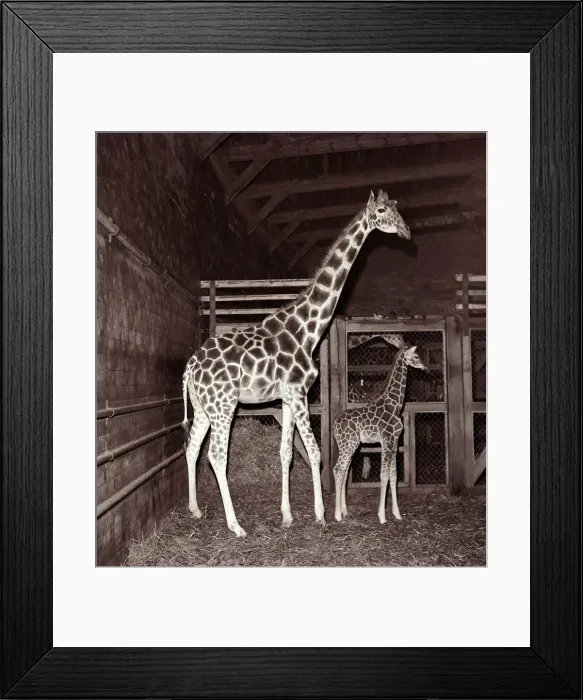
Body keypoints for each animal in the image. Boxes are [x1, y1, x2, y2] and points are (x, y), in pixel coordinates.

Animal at [182, 190, 411, 537]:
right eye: (383, 210)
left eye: (398, 208)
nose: (406, 231)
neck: (307, 329)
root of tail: (191, 368)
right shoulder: (299, 393)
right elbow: (315, 453)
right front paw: (321, 515)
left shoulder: (288, 398)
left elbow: (286, 453)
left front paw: (288, 516)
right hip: (224, 405)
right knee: (217, 456)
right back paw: (236, 526)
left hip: (202, 407)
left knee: (193, 447)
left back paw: (195, 510)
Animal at [332, 338, 427, 524]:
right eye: (416, 356)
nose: (425, 367)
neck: (395, 405)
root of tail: (334, 424)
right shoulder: (387, 440)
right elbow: (384, 476)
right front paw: (382, 516)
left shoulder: (394, 442)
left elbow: (394, 476)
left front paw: (397, 514)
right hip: (348, 445)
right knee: (338, 469)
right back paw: (337, 515)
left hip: (349, 445)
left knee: (344, 471)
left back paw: (345, 511)